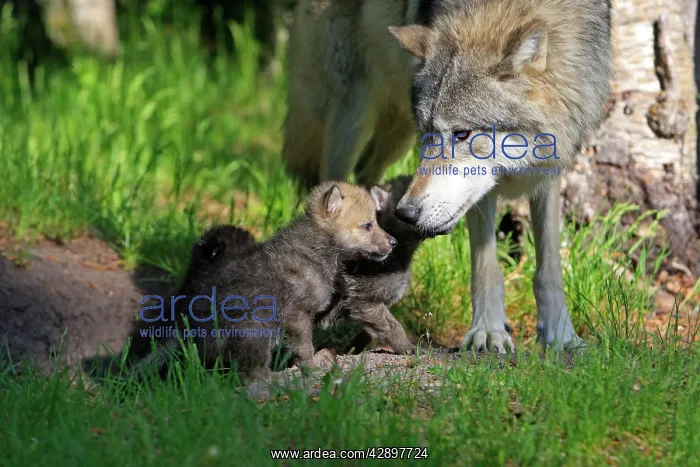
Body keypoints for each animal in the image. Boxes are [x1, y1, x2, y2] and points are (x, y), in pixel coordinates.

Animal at [129, 181, 397, 380]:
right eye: (367, 225)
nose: (393, 243)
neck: (315, 250)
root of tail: (185, 326)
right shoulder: (297, 316)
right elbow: (304, 348)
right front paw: (313, 365)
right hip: (254, 329)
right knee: (251, 375)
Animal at [283, 0, 612, 353]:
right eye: (428, 134)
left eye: (462, 134)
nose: (406, 212)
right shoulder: (480, 192)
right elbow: (486, 265)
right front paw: (488, 332)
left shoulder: (550, 164)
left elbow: (549, 266)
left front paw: (561, 335)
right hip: (353, 116)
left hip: (395, 134)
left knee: (366, 176)